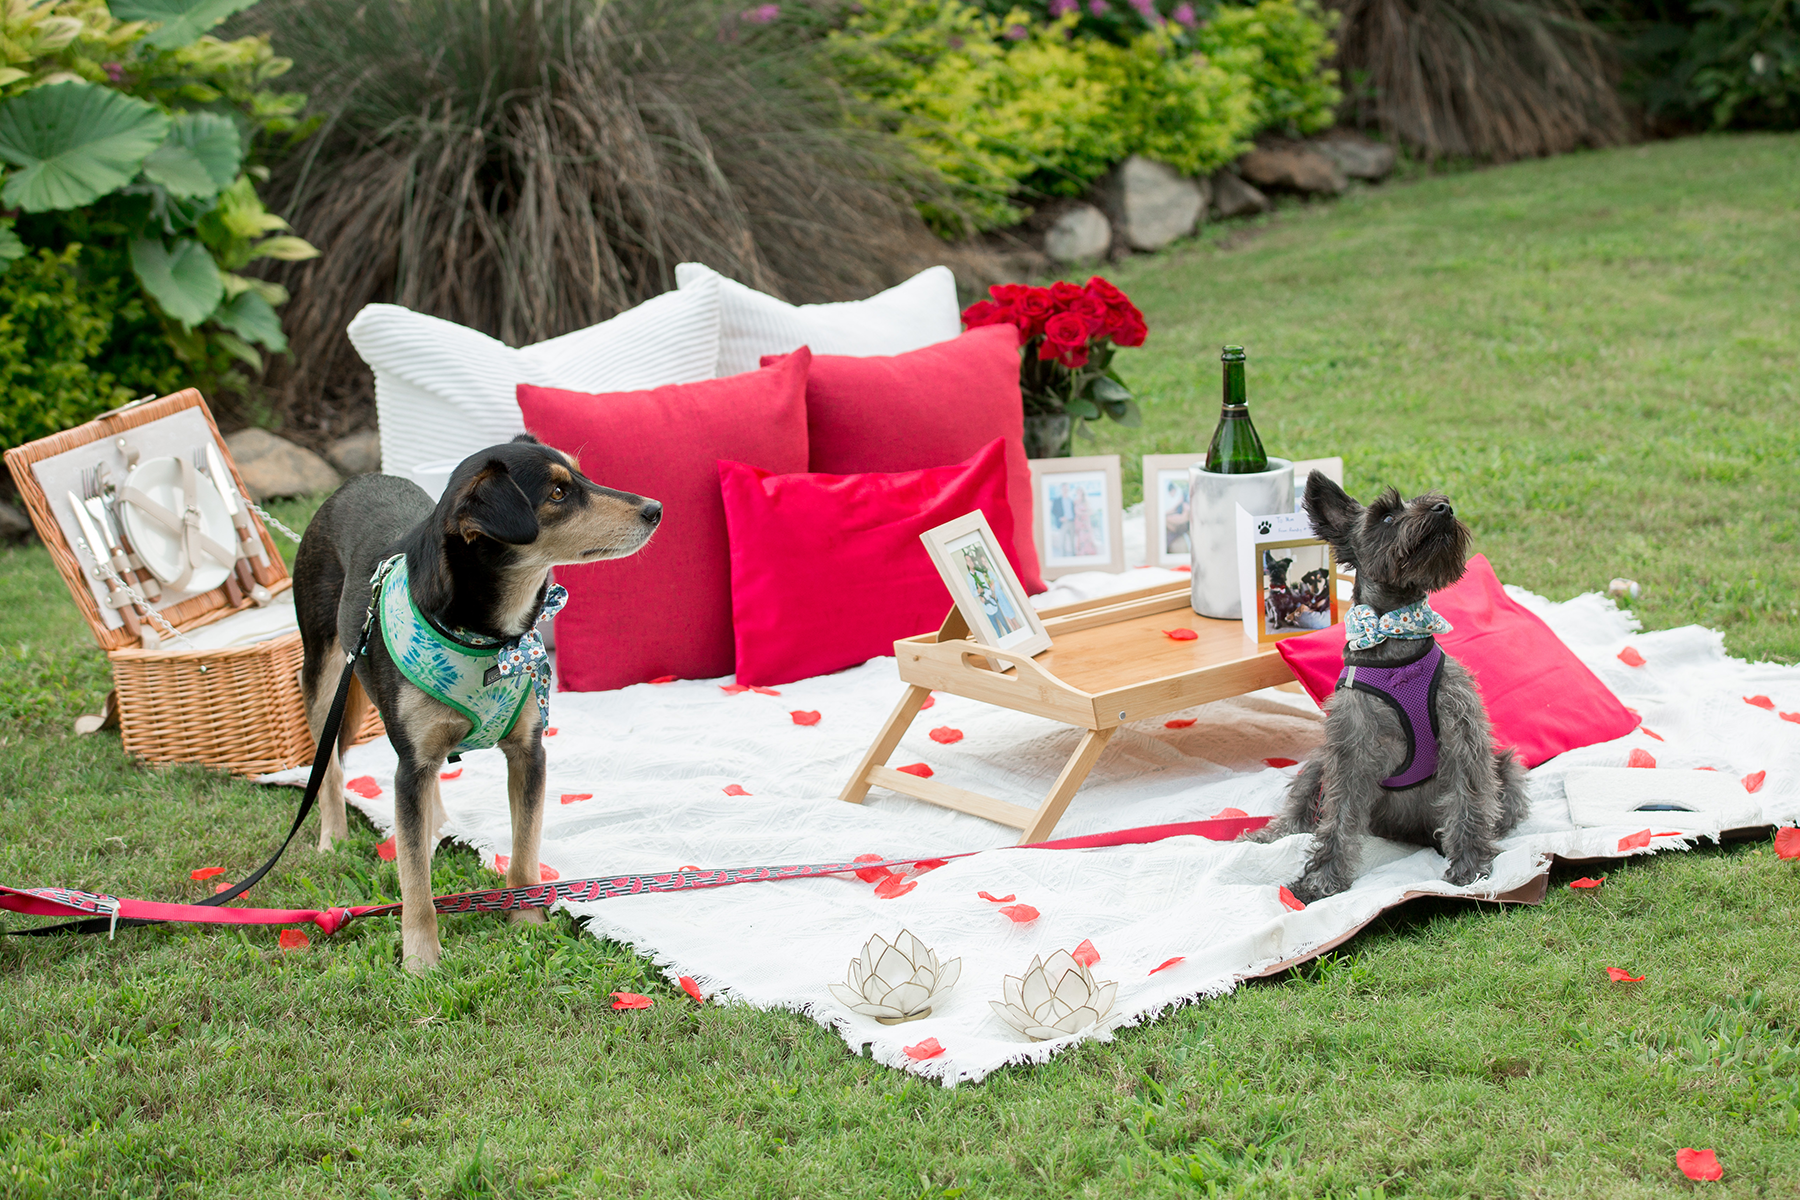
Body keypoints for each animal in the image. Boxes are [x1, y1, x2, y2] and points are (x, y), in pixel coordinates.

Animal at [295, 437, 662, 971]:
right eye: (557, 493)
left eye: (581, 475)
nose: (656, 509)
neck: (489, 637)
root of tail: (355, 482)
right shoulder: (410, 764)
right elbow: (415, 884)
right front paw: (421, 959)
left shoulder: (529, 751)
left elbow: (525, 850)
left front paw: (526, 922)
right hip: (324, 676)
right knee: (331, 771)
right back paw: (333, 839)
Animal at [1260, 471, 1526, 899]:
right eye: (1385, 517)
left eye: (1433, 500)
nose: (1443, 508)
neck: (1394, 639)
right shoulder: (1349, 749)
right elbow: (1337, 818)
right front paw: (1322, 880)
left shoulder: (1463, 738)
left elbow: (1467, 804)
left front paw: (1470, 867)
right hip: (1319, 763)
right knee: (1299, 805)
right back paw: (1266, 836)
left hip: (1508, 769)